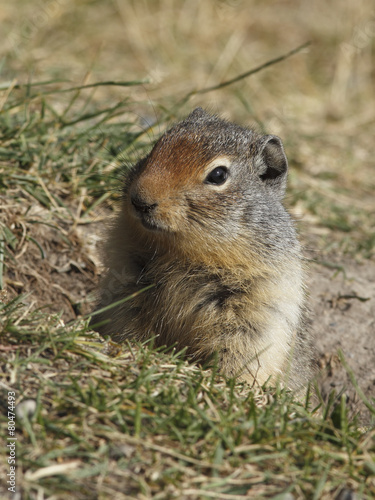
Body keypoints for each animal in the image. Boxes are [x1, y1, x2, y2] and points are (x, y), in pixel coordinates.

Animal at [93, 108, 314, 390]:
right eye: (155, 148)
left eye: (218, 175)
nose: (140, 200)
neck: (182, 252)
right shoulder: (128, 286)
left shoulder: (258, 310)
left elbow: (242, 355)